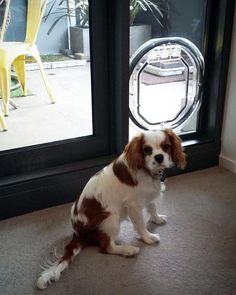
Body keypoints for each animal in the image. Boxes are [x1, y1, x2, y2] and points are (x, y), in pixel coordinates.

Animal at [36, 129, 186, 290]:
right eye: (147, 150)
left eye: (166, 146)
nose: (159, 157)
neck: (147, 171)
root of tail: (78, 233)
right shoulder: (133, 205)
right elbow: (140, 225)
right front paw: (148, 237)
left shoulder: (148, 196)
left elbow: (152, 208)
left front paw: (157, 219)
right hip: (111, 218)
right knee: (106, 247)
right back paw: (129, 250)